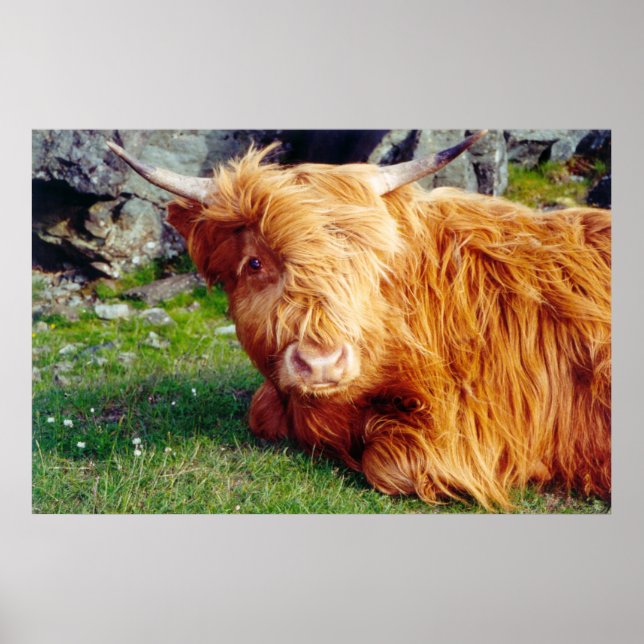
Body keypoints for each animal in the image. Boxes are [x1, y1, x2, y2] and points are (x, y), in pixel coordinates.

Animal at [108, 131, 611, 510]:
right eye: (254, 263)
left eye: (365, 259)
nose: (321, 363)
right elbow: (263, 411)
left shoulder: (476, 428)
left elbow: (386, 465)